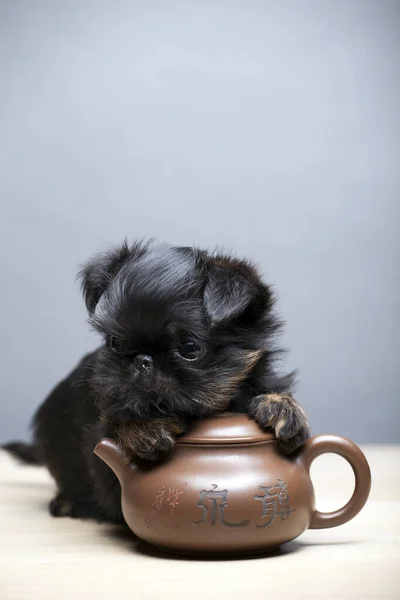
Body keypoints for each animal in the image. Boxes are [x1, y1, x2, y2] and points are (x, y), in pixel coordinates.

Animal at [2, 241, 310, 524]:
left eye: (189, 348)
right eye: (114, 342)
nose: (143, 360)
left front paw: (281, 406)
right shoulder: (99, 443)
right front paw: (143, 428)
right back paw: (68, 502)